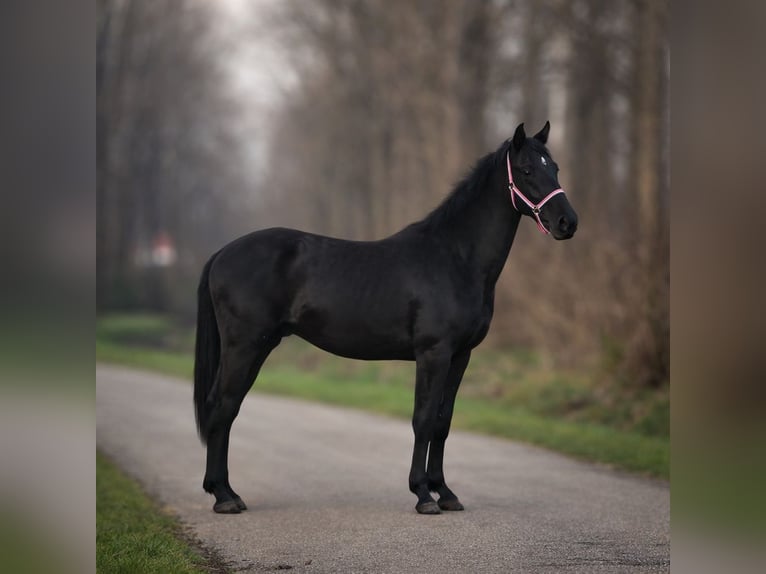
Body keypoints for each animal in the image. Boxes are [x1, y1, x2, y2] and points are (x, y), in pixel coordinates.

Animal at [194, 122, 578, 515]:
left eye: (555, 167)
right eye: (527, 170)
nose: (567, 222)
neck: (455, 258)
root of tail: (222, 253)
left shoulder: (460, 356)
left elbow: (443, 422)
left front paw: (446, 493)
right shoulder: (433, 353)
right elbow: (423, 420)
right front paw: (423, 495)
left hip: (257, 346)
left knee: (225, 408)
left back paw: (226, 492)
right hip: (245, 346)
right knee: (223, 406)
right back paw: (224, 496)